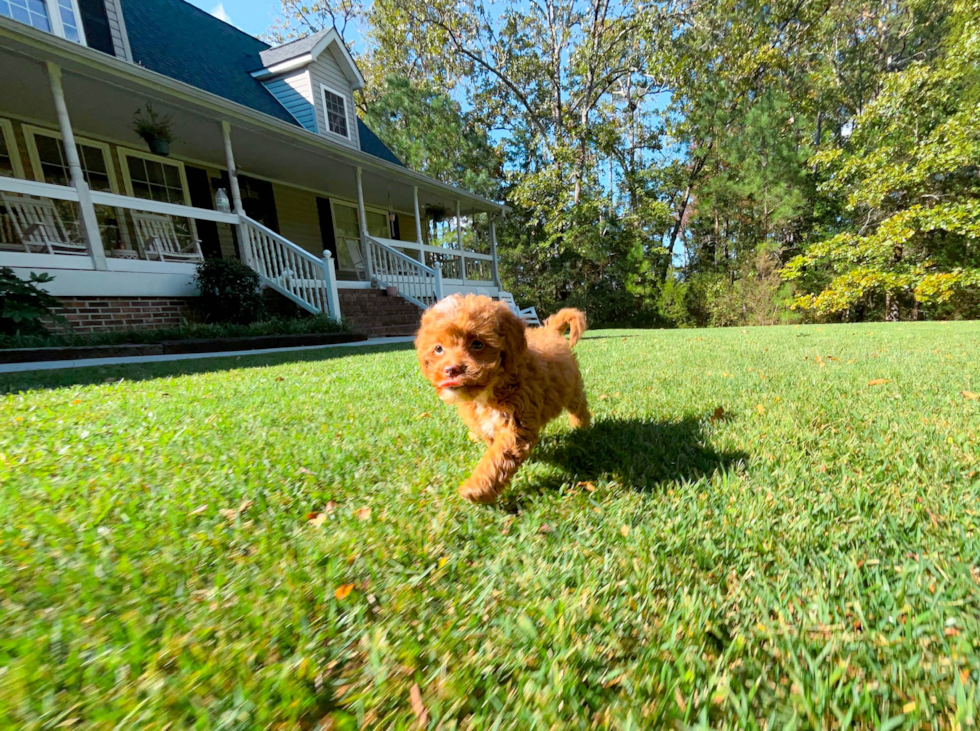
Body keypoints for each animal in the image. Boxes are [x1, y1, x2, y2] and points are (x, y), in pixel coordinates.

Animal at [416, 294, 588, 504]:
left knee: (579, 406)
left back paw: (582, 427)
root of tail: (549, 331)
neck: (487, 393)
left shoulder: (516, 425)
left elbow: (497, 457)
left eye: (477, 344)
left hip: (572, 389)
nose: (450, 370)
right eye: (439, 349)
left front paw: (475, 489)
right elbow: (494, 448)